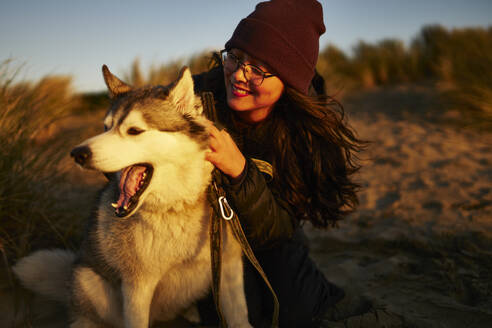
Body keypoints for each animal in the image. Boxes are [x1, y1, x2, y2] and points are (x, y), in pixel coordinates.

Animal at [13, 65, 252, 326]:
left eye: (134, 131)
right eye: (106, 128)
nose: (77, 154)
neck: (178, 206)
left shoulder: (230, 269)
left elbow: (240, 318)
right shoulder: (137, 287)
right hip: (89, 282)